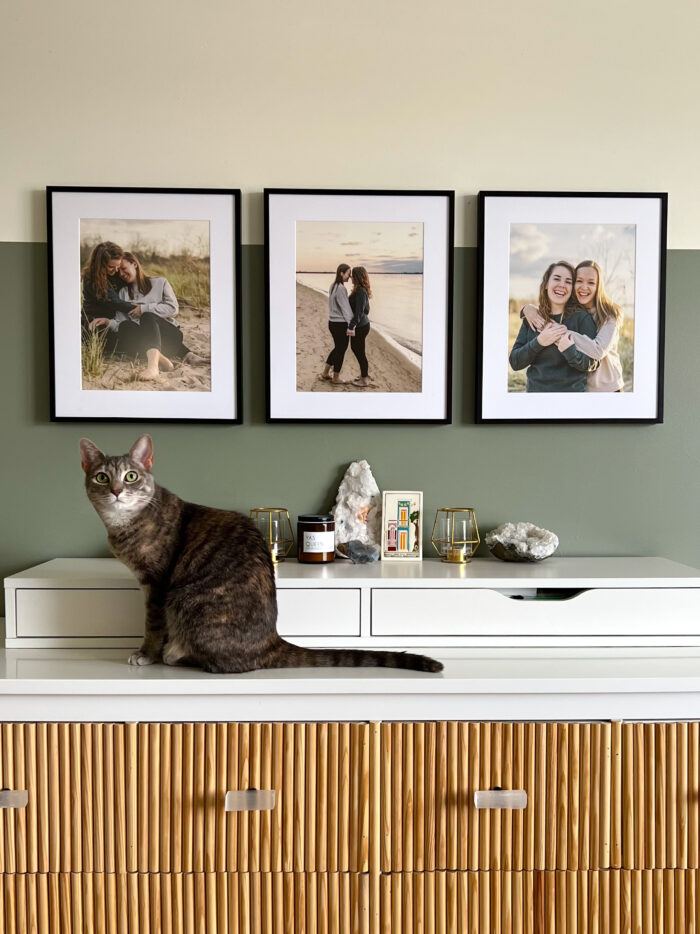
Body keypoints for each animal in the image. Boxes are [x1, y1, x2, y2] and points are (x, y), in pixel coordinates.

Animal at [79, 436, 442, 676]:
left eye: (131, 476)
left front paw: (146, 654)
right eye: (101, 477)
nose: (116, 491)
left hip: (184, 601)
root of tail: (270, 641)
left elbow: (152, 625)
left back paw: (174, 655)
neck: (125, 525)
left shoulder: (156, 583)